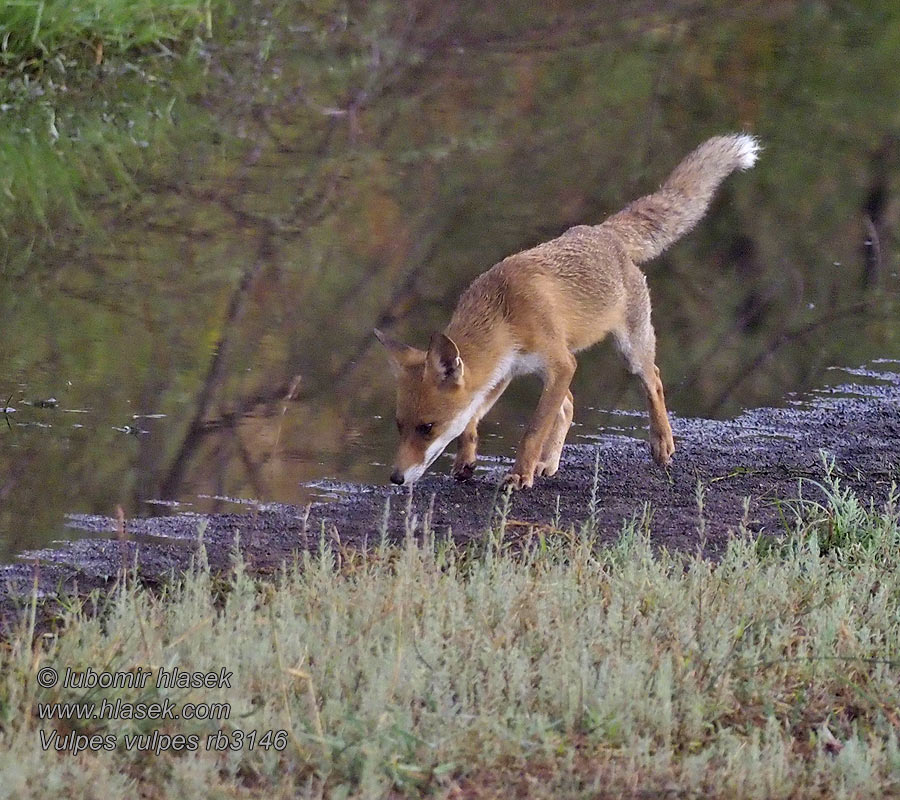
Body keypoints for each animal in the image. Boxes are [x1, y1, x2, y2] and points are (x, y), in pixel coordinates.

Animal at [374, 133, 760, 488]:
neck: (504, 313)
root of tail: (603, 231)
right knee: (570, 405)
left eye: (427, 427)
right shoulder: (504, 373)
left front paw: (520, 475)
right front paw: (467, 462)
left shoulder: (559, 364)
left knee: (654, 380)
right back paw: (549, 463)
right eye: (399, 425)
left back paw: (661, 443)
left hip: (627, 351)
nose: (395, 478)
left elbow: (531, 431)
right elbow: (472, 420)